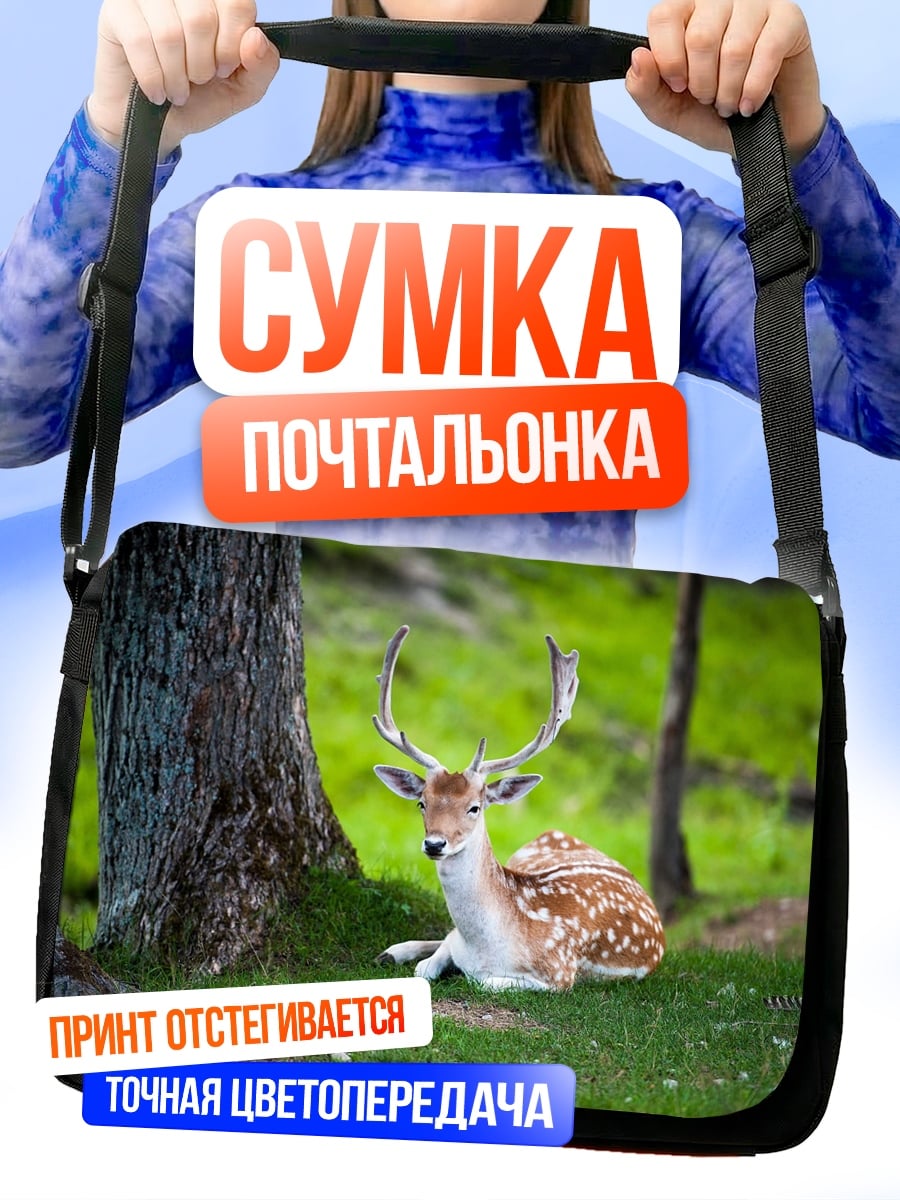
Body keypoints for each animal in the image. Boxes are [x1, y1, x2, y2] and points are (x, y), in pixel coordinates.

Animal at [372, 626, 665, 991]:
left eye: (474, 807)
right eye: (422, 802)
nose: (435, 844)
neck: (485, 946)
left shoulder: (559, 972)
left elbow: (482, 981)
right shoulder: (456, 943)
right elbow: (427, 965)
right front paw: (407, 955)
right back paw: (392, 951)